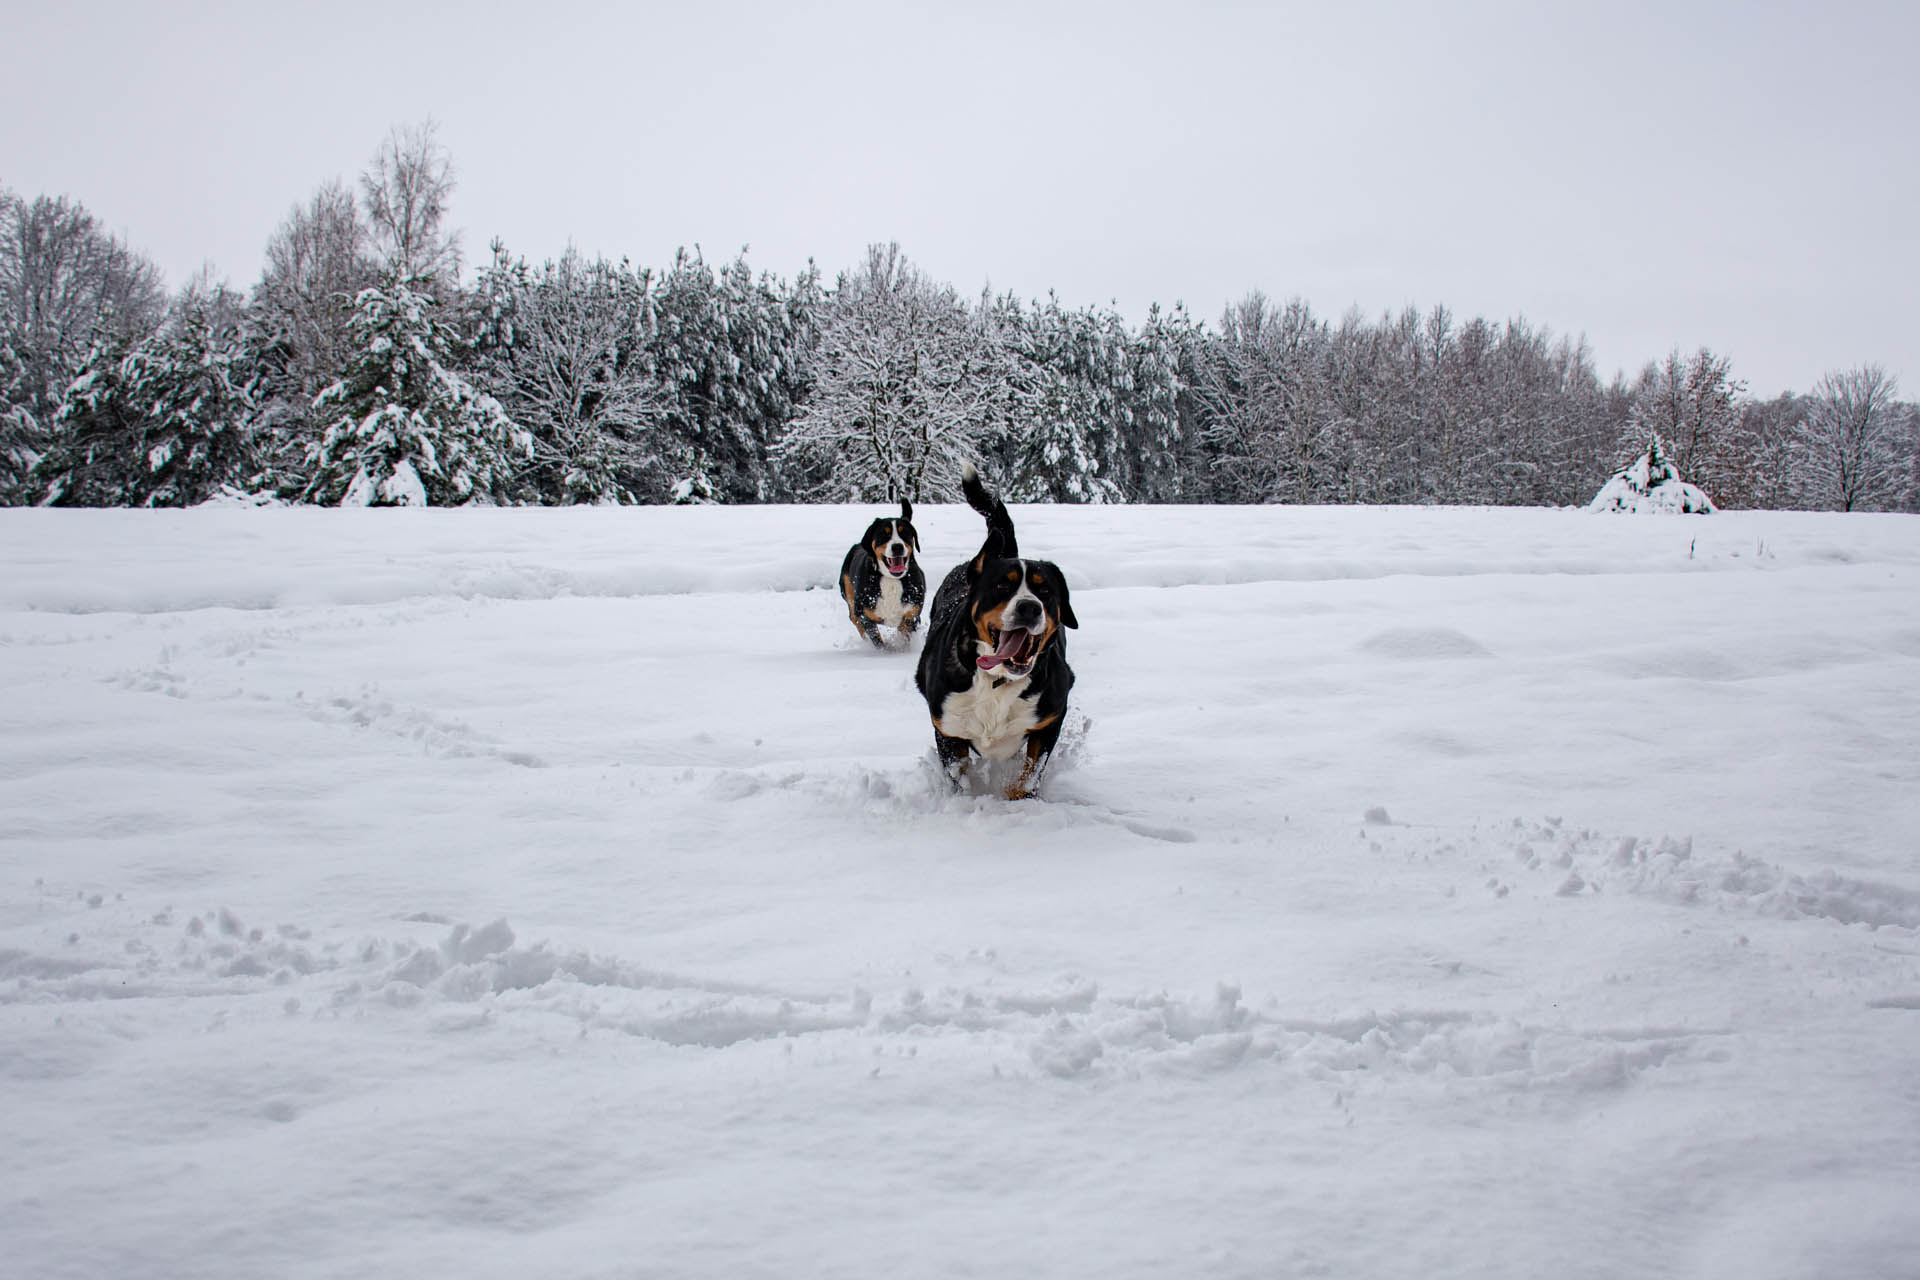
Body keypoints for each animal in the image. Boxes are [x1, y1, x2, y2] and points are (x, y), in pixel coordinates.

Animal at [840, 498, 929, 652]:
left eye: (905, 533)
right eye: (884, 534)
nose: (897, 546)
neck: (891, 579)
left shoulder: (912, 613)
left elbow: (905, 633)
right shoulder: (864, 614)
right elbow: (875, 637)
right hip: (847, 590)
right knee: (853, 617)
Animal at [917, 466, 1082, 794]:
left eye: (1045, 591)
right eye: (1002, 586)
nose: (1029, 607)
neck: (996, 680)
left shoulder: (1049, 720)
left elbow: (1028, 775)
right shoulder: (948, 730)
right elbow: (961, 779)